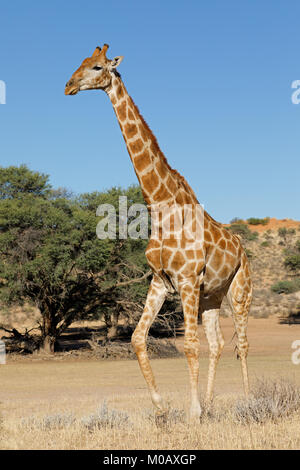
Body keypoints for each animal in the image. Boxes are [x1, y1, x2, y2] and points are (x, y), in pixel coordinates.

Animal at [65, 44, 253, 418]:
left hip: (239, 291)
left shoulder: (187, 280)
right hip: (211, 296)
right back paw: (211, 403)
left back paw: (249, 401)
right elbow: (138, 338)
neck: (161, 206)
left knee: (241, 343)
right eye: (79, 63)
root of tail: (242, 248)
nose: (68, 85)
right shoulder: (161, 281)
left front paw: (192, 413)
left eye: (97, 67)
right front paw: (163, 407)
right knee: (218, 343)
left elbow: (189, 345)